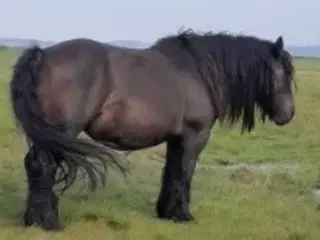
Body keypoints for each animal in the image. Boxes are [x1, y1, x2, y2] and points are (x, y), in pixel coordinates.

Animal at [8, 28, 296, 231]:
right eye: (284, 73)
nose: (288, 114)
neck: (200, 72)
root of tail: (43, 55)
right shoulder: (195, 136)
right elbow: (184, 173)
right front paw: (183, 215)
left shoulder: (176, 138)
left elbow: (171, 172)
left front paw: (167, 212)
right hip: (61, 132)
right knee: (43, 167)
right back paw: (46, 222)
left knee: (34, 165)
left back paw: (34, 219)